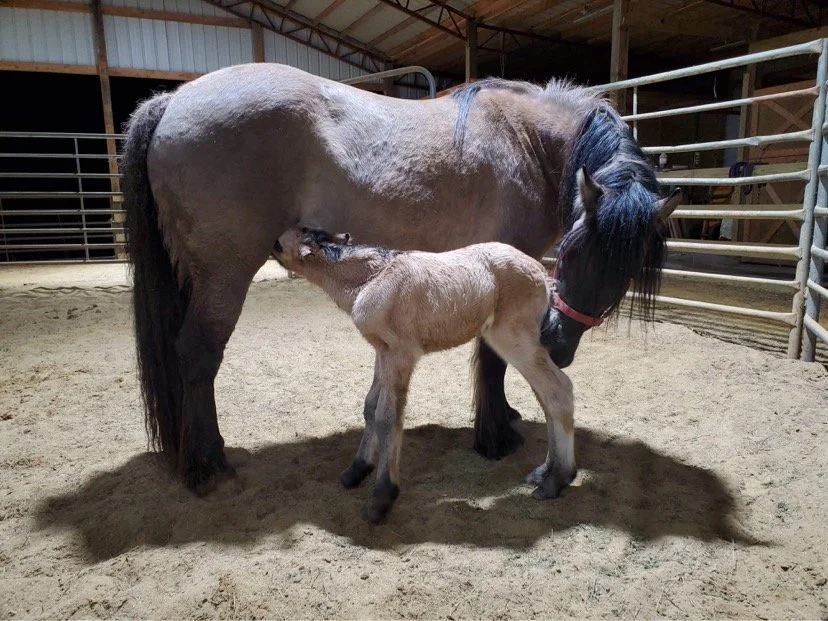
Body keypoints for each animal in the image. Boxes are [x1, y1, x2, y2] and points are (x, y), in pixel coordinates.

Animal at [273, 225, 583, 523]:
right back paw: (544, 471)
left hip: (514, 339)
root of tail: (541, 273)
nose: (269, 247)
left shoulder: (400, 355)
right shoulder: (382, 352)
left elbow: (388, 417)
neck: (371, 278)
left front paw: (381, 498)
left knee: (558, 389)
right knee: (546, 395)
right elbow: (370, 406)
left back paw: (557, 479)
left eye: (278, 242)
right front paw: (356, 470)